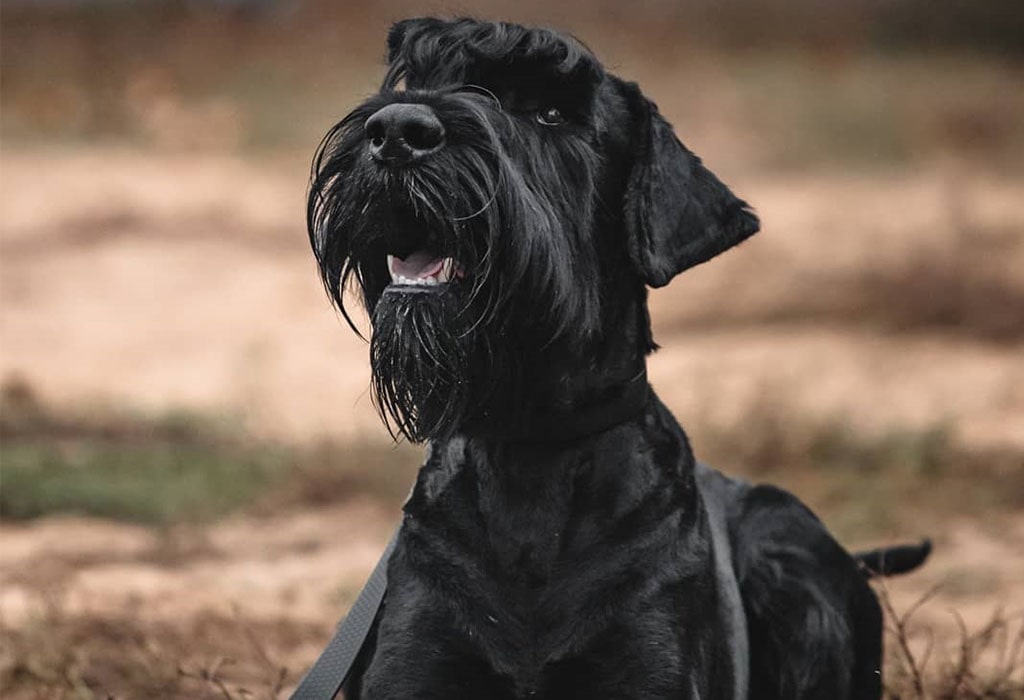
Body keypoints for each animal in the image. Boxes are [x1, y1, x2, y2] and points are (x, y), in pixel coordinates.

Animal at [305, 17, 929, 700]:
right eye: (414, 80)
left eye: (552, 112)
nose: (396, 131)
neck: (530, 447)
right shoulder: (417, 667)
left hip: (789, 551)